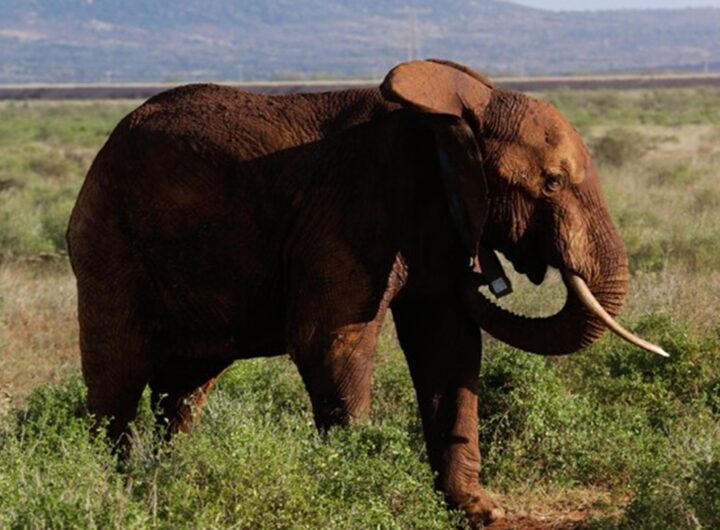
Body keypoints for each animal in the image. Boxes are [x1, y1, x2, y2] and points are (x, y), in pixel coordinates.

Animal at [67, 59, 666, 527]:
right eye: (552, 183)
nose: (487, 273)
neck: (447, 122)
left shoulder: (432, 229)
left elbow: (448, 345)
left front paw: (480, 510)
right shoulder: (351, 211)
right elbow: (328, 341)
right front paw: (359, 493)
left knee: (185, 390)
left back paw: (172, 478)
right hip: (109, 243)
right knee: (117, 376)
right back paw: (112, 486)